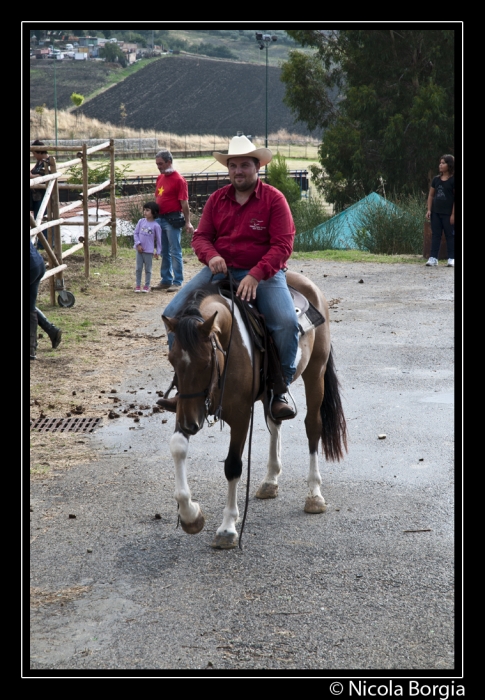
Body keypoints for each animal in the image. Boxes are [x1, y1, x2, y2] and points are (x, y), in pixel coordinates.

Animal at [163, 270, 348, 548]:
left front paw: (227, 528)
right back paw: (270, 480)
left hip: (316, 372)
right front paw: (190, 516)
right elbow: (177, 447)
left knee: (313, 427)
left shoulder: (240, 416)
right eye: (172, 359)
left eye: (206, 362)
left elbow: (233, 466)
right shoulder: (188, 406)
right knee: (275, 419)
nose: (190, 424)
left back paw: (314, 494)